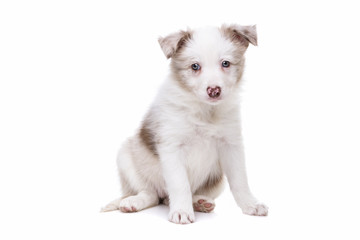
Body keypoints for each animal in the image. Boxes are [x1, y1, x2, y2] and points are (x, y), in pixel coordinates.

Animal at [101, 23, 268, 223]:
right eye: (195, 66)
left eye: (225, 63)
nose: (214, 90)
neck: (204, 111)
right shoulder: (171, 146)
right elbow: (180, 184)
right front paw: (181, 211)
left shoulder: (231, 144)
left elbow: (240, 180)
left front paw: (251, 204)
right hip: (126, 157)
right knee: (150, 193)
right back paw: (134, 202)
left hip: (217, 180)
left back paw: (200, 202)